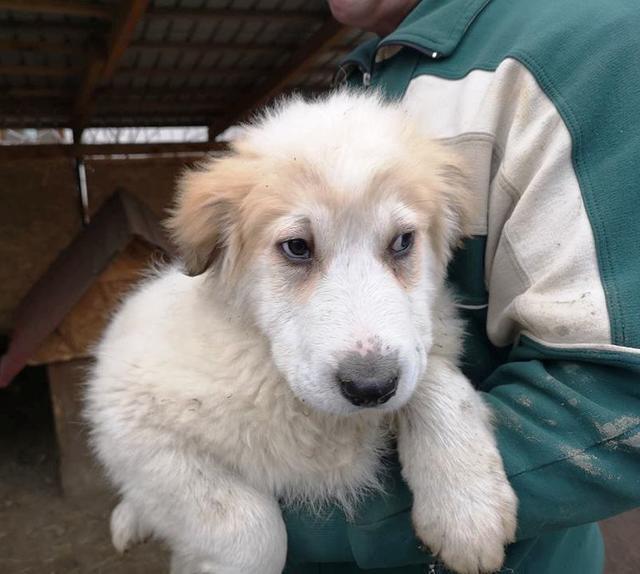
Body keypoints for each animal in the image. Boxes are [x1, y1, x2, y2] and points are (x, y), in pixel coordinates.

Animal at [85, 92, 516, 572]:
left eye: (403, 241)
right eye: (296, 247)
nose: (370, 388)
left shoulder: (418, 347)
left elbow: (438, 380)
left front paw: (468, 509)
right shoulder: (131, 420)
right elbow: (247, 529)